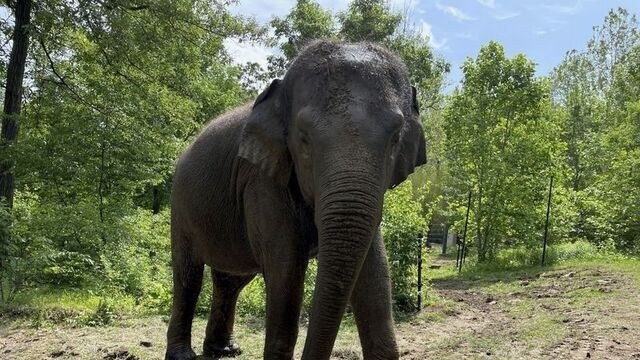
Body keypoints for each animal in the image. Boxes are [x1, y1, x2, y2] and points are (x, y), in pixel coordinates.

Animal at [165, 40, 424, 360]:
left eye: (396, 138)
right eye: (303, 139)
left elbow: (375, 273)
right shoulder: (262, 178)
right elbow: (285, 270)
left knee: (231, 278)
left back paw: (224, 349)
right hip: (180, 204)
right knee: (188, 276)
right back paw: (183, 354)